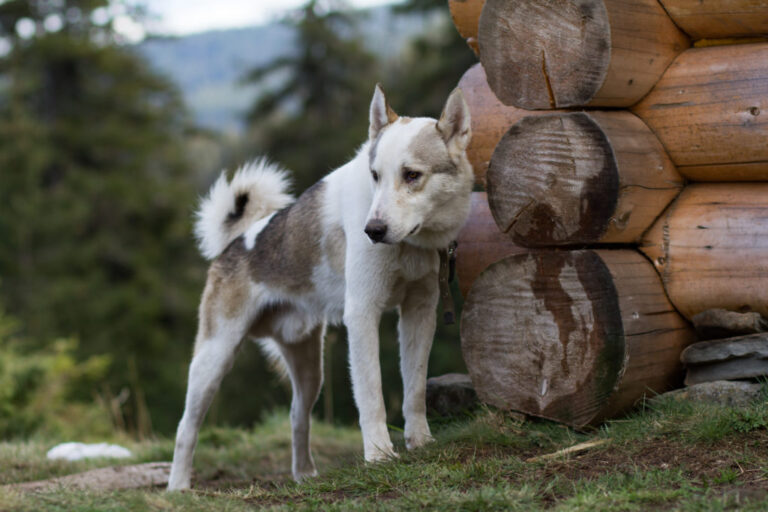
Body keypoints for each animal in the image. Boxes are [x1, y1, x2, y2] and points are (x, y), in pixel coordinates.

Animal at [168, 86, 474, 490]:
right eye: (375, 175)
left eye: (412, 175)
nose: (372, 231)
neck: (411, 244)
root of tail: (234, 244)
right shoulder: (362, 313)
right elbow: (371, 393)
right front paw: (379, 455)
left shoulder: (419, 312)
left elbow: (415, 388)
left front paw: (419, 441)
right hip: (213, 360)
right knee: (185, 428)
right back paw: (178, 488)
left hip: (309, 368)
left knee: (297, 417)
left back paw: (304, 476)